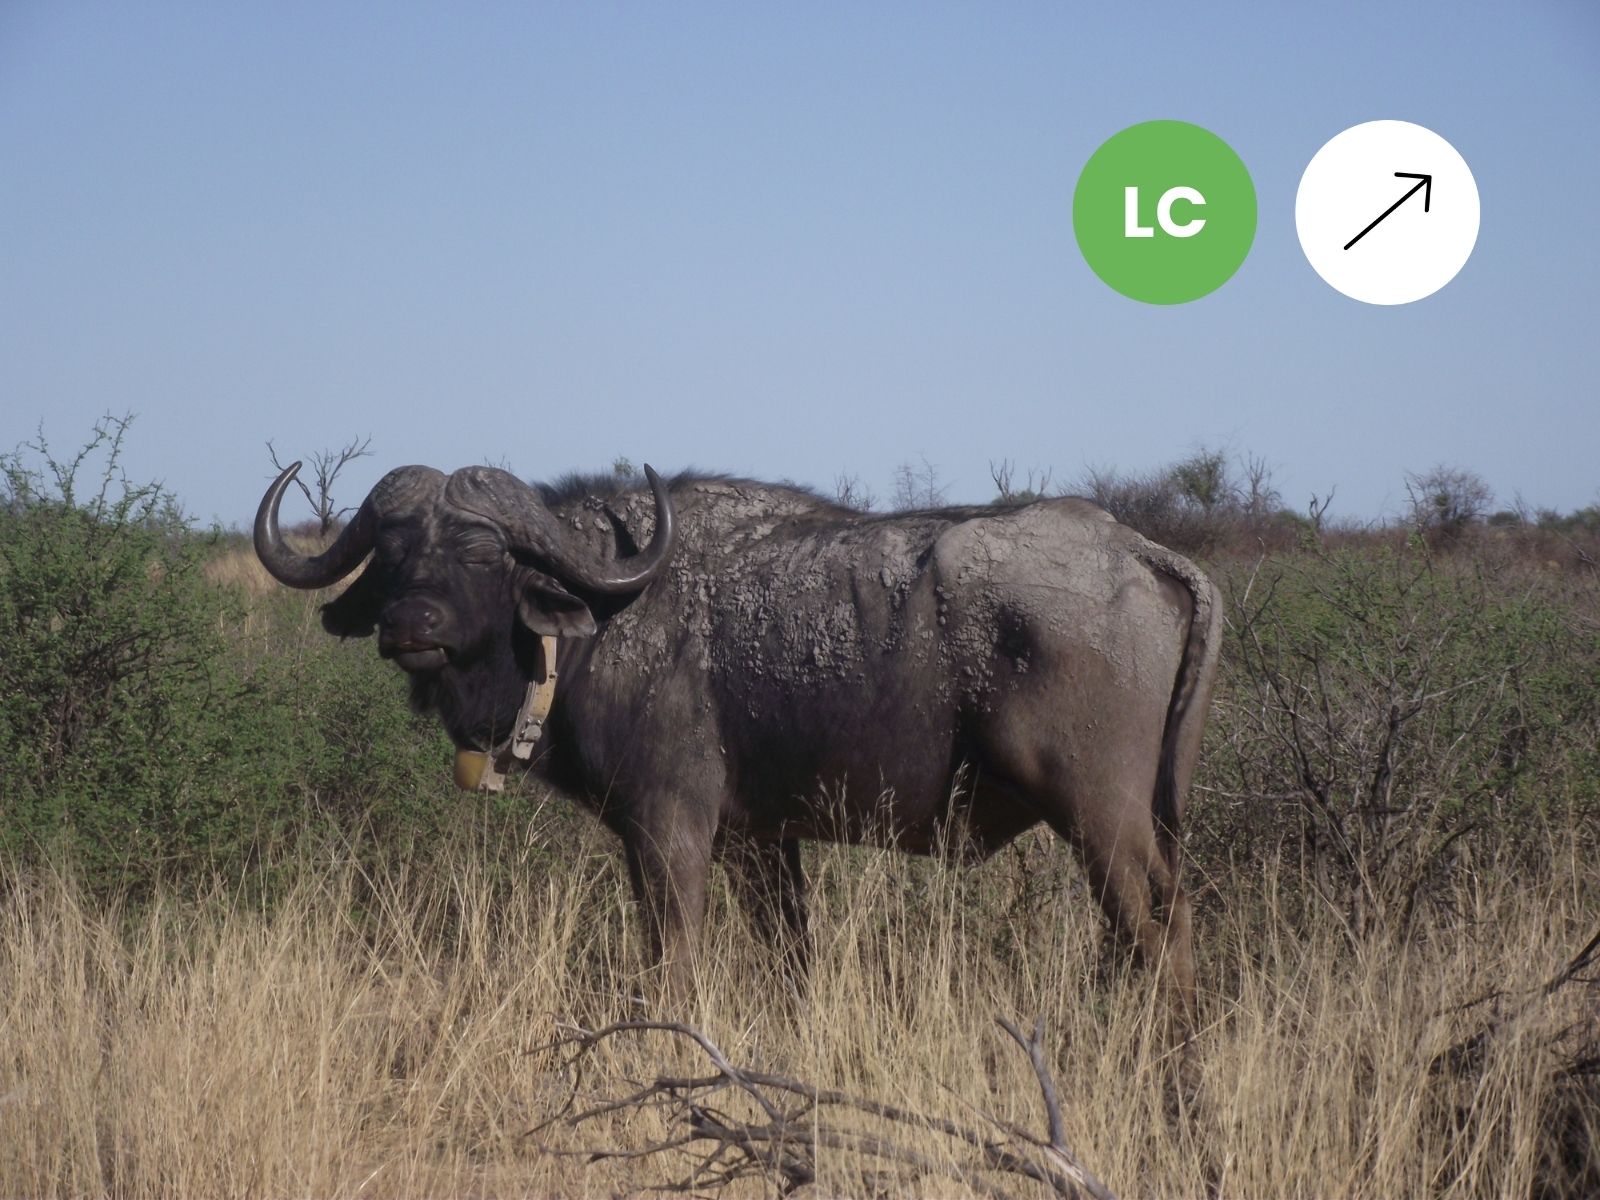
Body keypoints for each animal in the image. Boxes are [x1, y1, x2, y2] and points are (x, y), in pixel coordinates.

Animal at [255, 462, 1220, 1019]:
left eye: (485, 552)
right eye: (395, 550)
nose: (409, 625)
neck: (600, 622)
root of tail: (1137, 550)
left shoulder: (669, 834)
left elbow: (671, 963)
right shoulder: (764, 847)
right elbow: (789, 960)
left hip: (1102, 822)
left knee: (1160, 934)